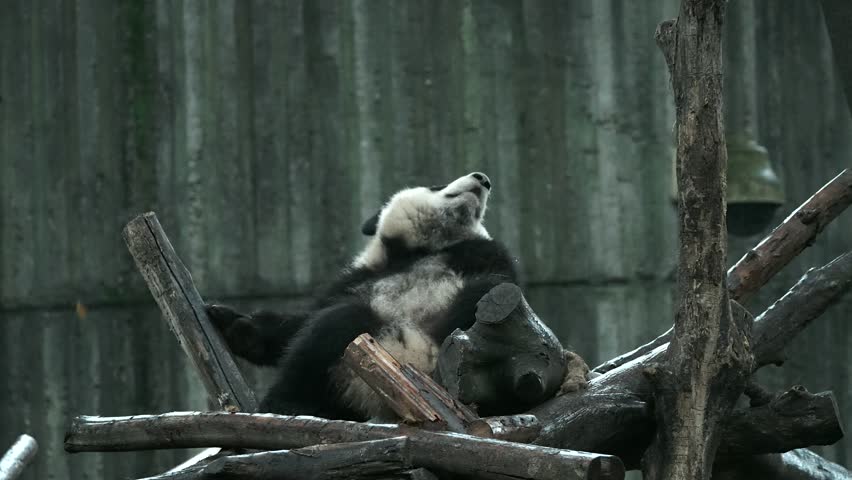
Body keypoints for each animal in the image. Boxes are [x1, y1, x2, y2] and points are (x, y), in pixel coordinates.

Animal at [207, 172, 519, 421]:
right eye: (437, 185)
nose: (483, 179)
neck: (424, 251)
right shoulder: (357, 279)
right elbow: (297, 326)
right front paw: (233, 324)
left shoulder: (485, 256)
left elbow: (497, 282)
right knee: (331, 330)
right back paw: (286, 403)